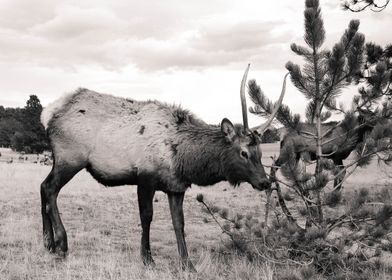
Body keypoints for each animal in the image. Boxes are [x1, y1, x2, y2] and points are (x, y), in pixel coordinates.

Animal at [39, 65, 288, 272]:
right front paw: (147, 258)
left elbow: (179, 223)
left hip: (62, 160)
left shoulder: (176, 187)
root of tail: (48, 113)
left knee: (43, 187)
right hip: (70, 158)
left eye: (259, 153)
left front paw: (188, 264)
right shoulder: (145, 178)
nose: (265, 182)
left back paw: (47, 243)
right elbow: (146, 217)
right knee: (50, 189)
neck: (183, 158)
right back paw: (61, 244)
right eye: (244, 152)